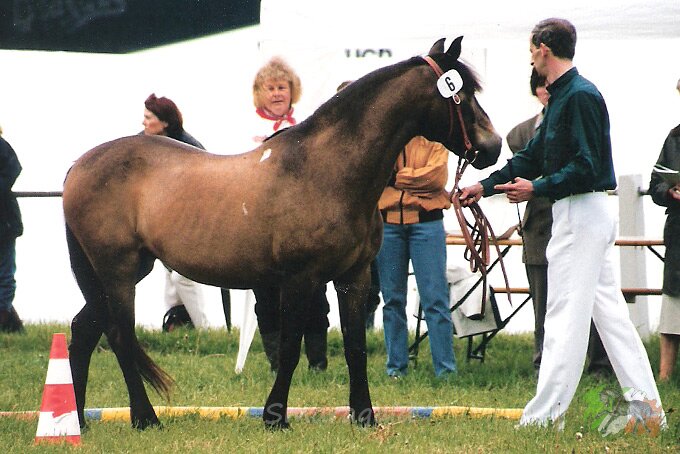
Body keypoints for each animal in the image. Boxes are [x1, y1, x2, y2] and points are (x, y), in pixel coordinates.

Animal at [62, 36, 502, 431]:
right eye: (460, 95)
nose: (493, 147)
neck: (325, 170)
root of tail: (78, 167)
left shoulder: (353, 277)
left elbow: (355, 348)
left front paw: (365, 417)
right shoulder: (299, 280)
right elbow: (290, 348)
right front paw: (275, 417)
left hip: (121, 273)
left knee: (83, 332)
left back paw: (75, 421)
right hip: (118, 272)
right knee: (119, 336)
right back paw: (145, 419)